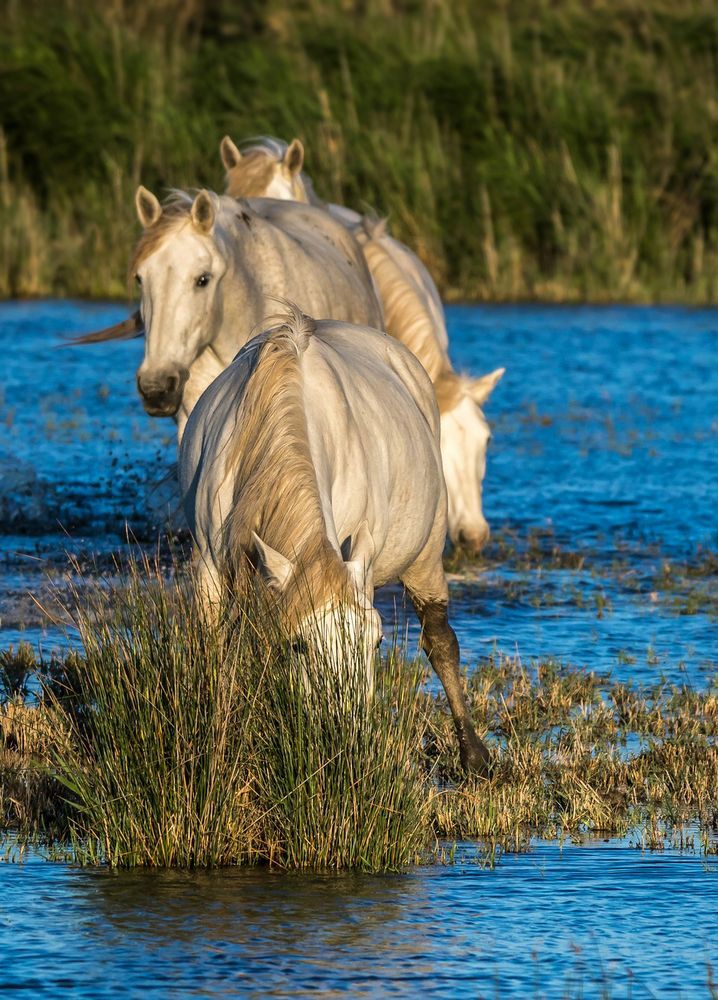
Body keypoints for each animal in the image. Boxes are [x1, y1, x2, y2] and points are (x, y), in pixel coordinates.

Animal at [178, 304, 492, 772]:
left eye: (376, 642)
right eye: (299, 646)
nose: (347, 739)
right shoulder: (212, 566)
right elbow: (216, 652)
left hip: (426, 555)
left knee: (439, 641)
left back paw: (473, 755)